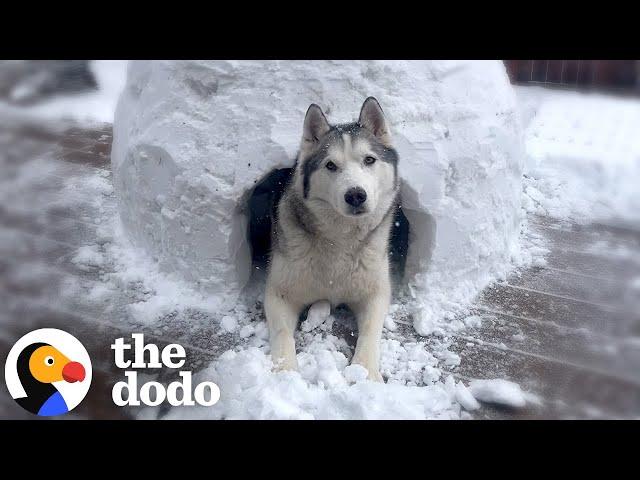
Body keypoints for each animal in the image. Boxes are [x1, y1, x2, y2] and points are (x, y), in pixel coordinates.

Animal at [262, 97, 398, 382]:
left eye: (369, 159)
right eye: (330, 165)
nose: (355, 195)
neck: (341, 240)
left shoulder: (377, 291)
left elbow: (371, 331)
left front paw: (366, 373)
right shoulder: (279, 293)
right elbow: (282, 333)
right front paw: (285, 373)